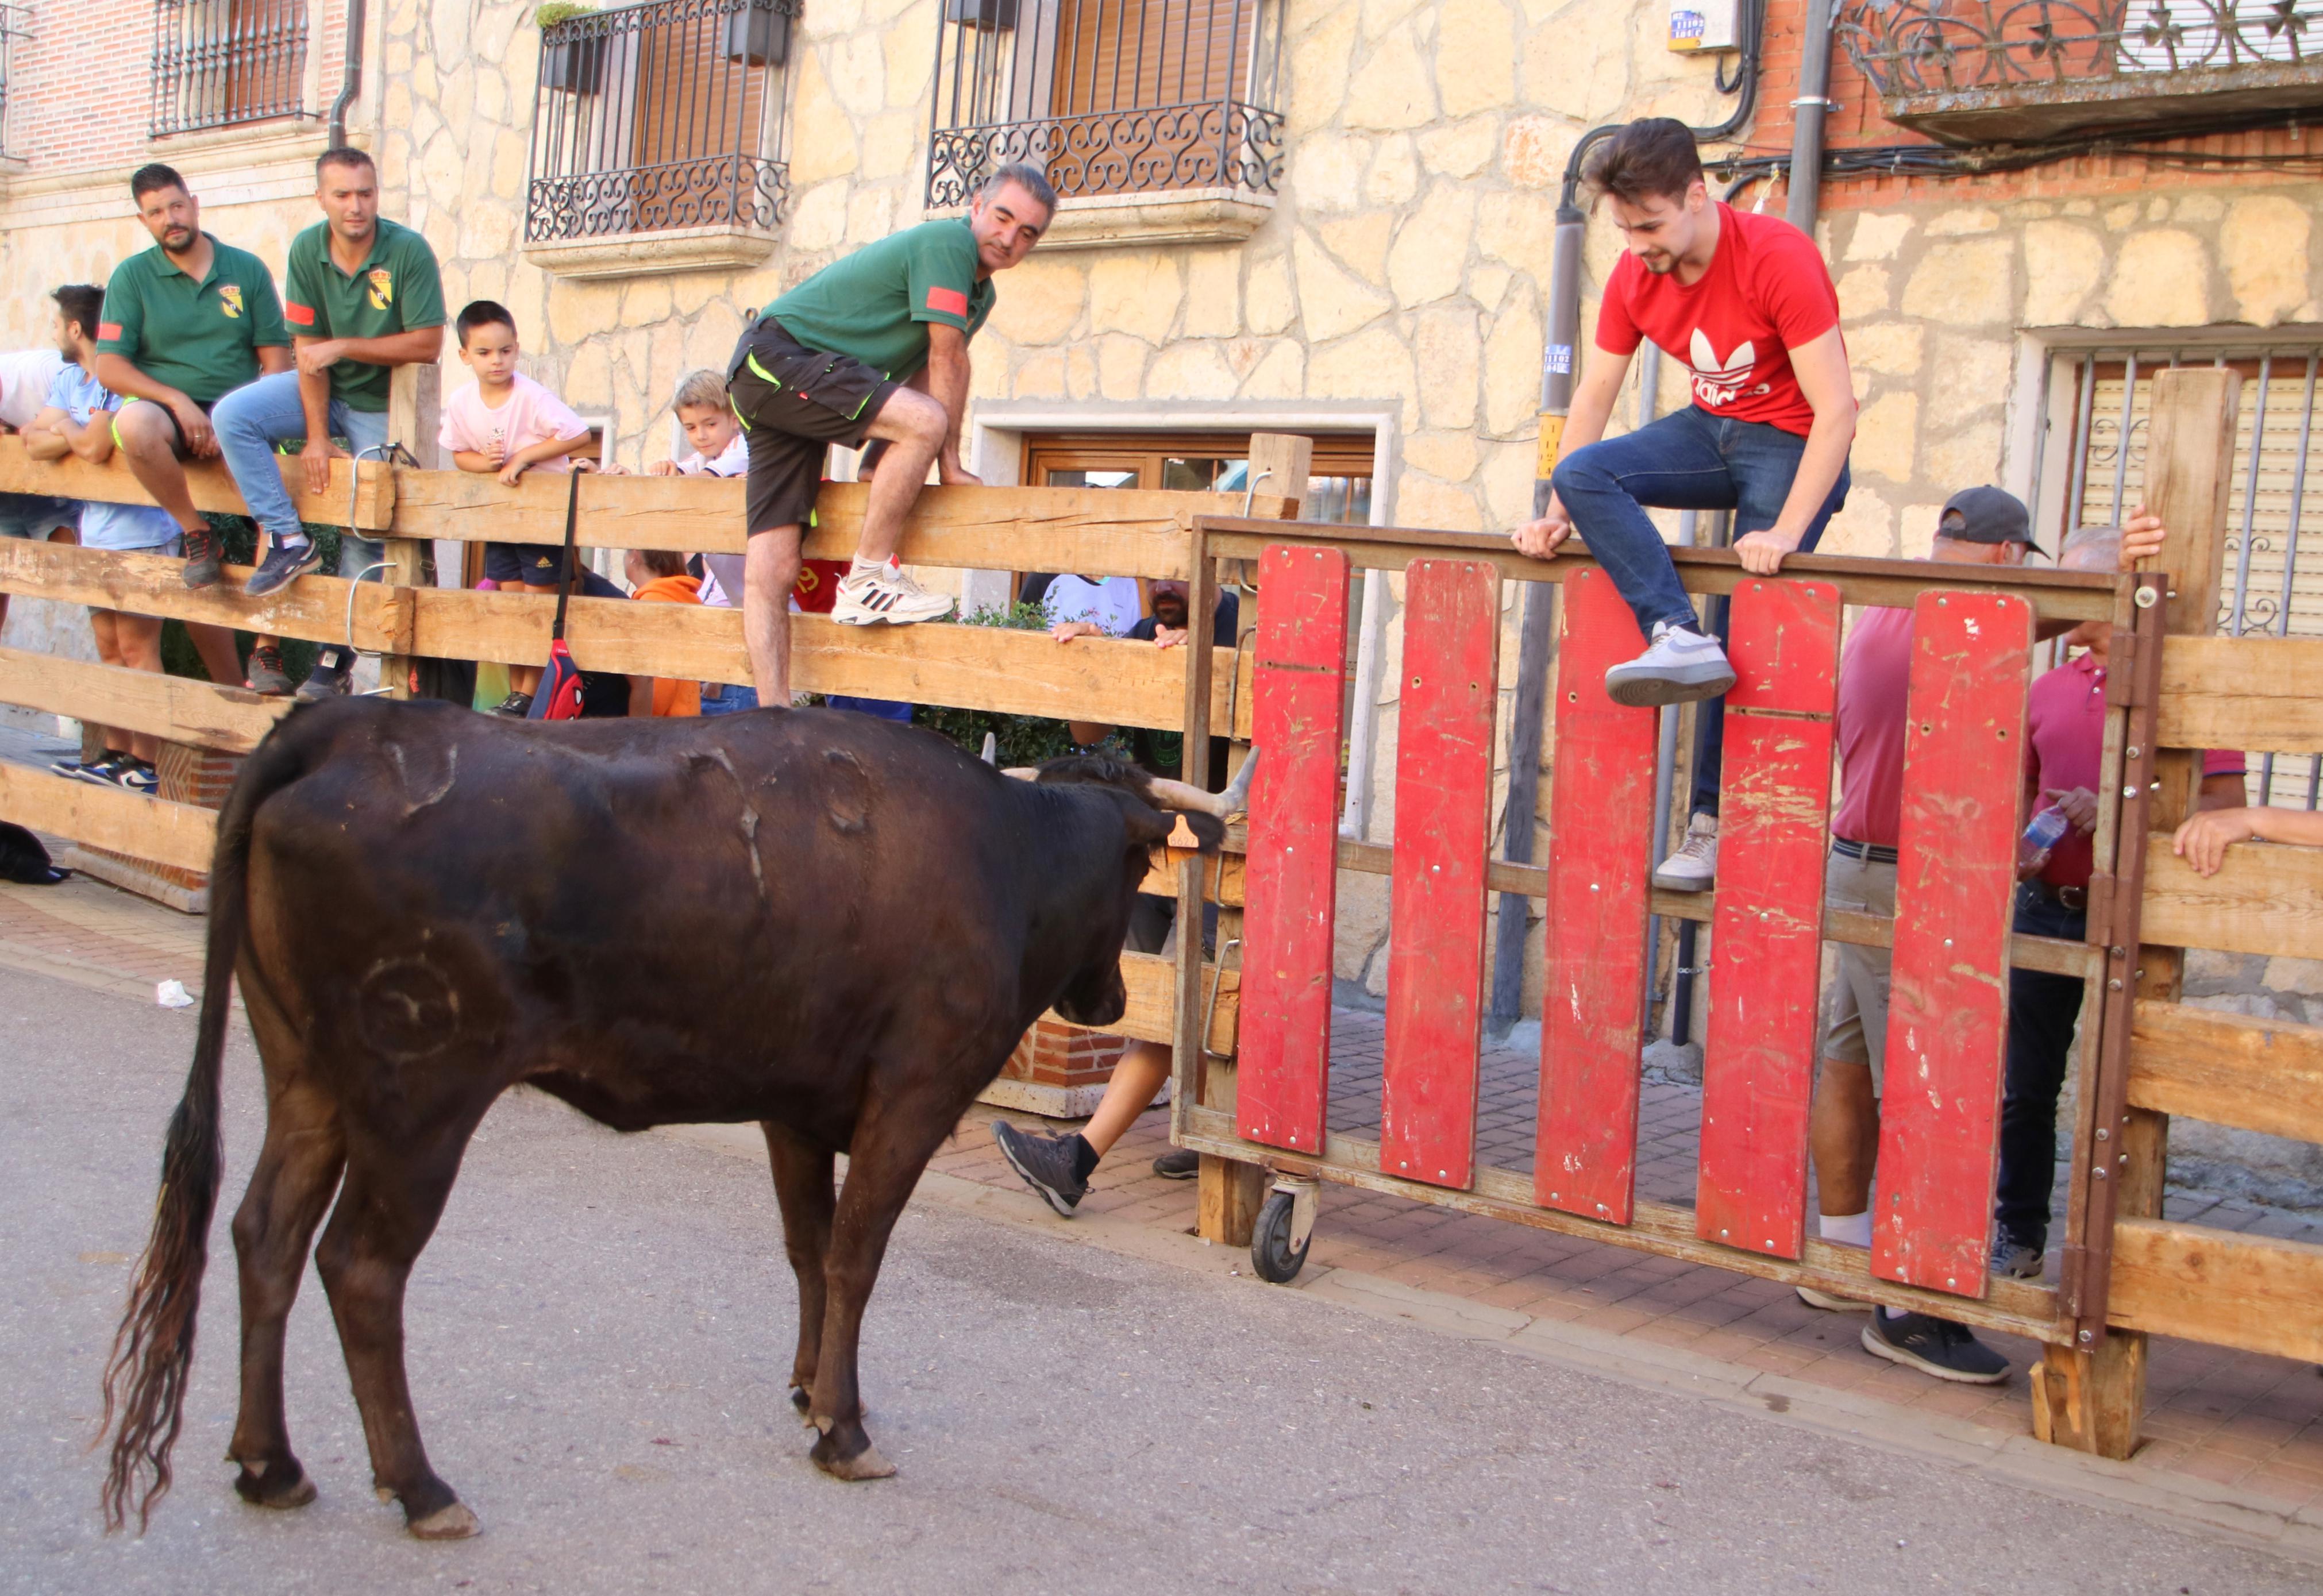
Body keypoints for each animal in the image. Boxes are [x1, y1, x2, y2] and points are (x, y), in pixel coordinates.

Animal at [102, 697, 1245, 1533]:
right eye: (1139, 869)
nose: (1106, 1001)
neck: (1002, 852)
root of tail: (346, 721)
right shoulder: (913, 1094)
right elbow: (854, 1256)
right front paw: (843, 1427)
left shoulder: (797, 1103)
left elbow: (806, 1248)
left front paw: (811, 1387)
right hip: (417, 1099)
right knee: (360, 1267)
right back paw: (421, 1486)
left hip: (305, 1075)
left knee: (266, 1233)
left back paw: (271, 1462)